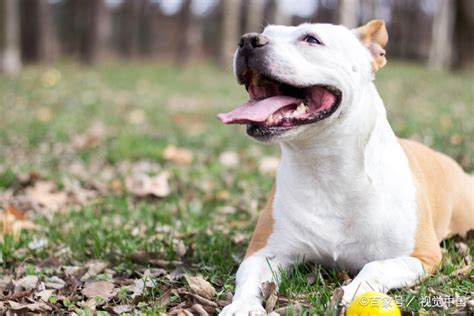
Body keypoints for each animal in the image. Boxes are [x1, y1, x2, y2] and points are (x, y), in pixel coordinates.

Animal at [217, 21, 472, 314]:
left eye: (311, 39)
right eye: (266, 32)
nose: (248, 40)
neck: (325, 168)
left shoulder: (421, 255)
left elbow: (376, 266)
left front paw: (356, 290)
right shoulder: (263, 252)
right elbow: (250, 279)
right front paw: (242, 306)